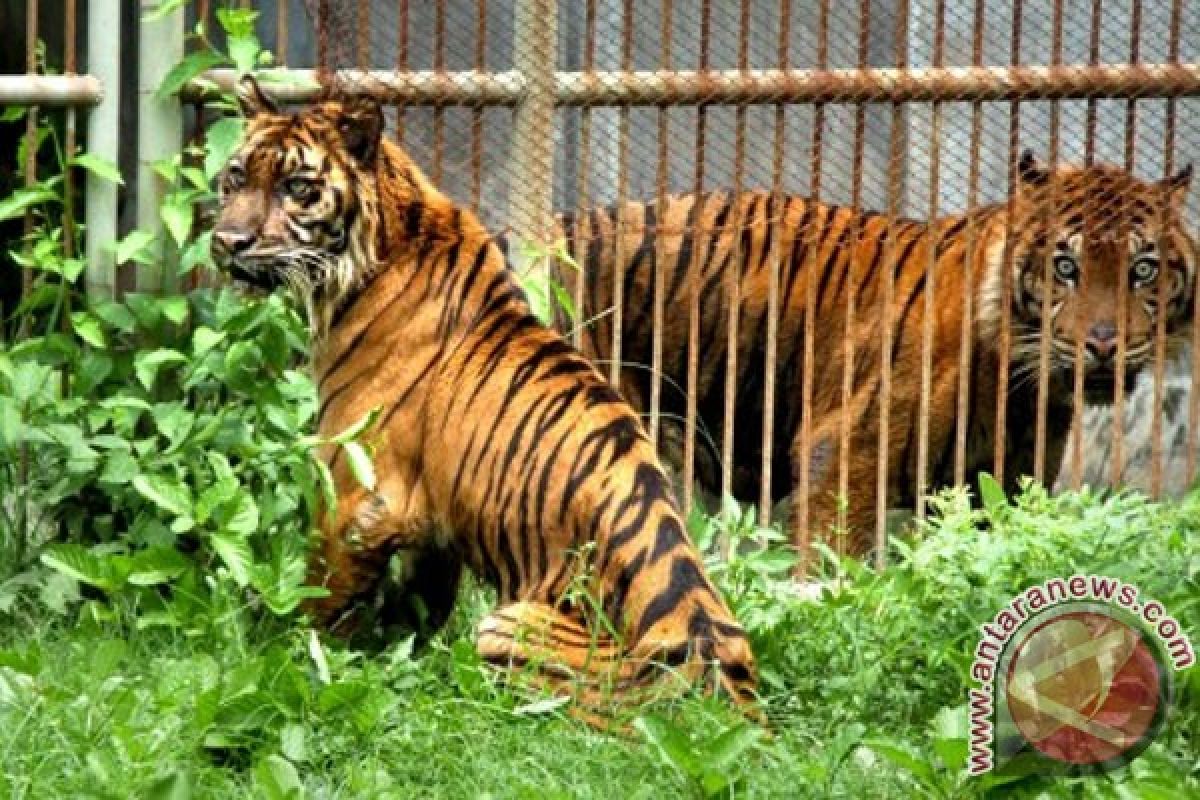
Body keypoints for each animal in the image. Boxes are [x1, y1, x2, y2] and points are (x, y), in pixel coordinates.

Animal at [213, 77, 758, 724]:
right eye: (235, 177)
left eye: (297, 187)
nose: (227, 241)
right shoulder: (431, 520)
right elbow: (416, 608)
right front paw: (395, 659)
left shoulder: (354, 494)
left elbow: (322, 600)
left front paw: (295, 658)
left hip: (509, 622)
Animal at [540, 153, 1195, 561]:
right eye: (1066, 267)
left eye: (1143, 269)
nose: (1104, 345)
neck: (1016, 382)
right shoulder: (844, 454)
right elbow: (830, 563)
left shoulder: (1002, 482)